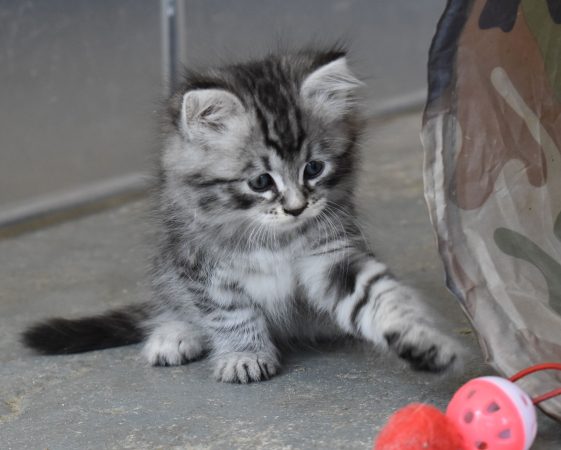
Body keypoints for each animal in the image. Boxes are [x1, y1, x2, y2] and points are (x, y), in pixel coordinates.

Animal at [23, 47, 460, 382]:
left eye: (313, 169)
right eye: (261, 181)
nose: (296, 207)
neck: (275, 238)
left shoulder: (330, 256)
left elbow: (377, 294)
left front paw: (419, 338)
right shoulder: (201, 265)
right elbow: (230, 312)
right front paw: (243, 355)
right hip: (167, 263)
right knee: (170, 302)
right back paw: (174, 334)